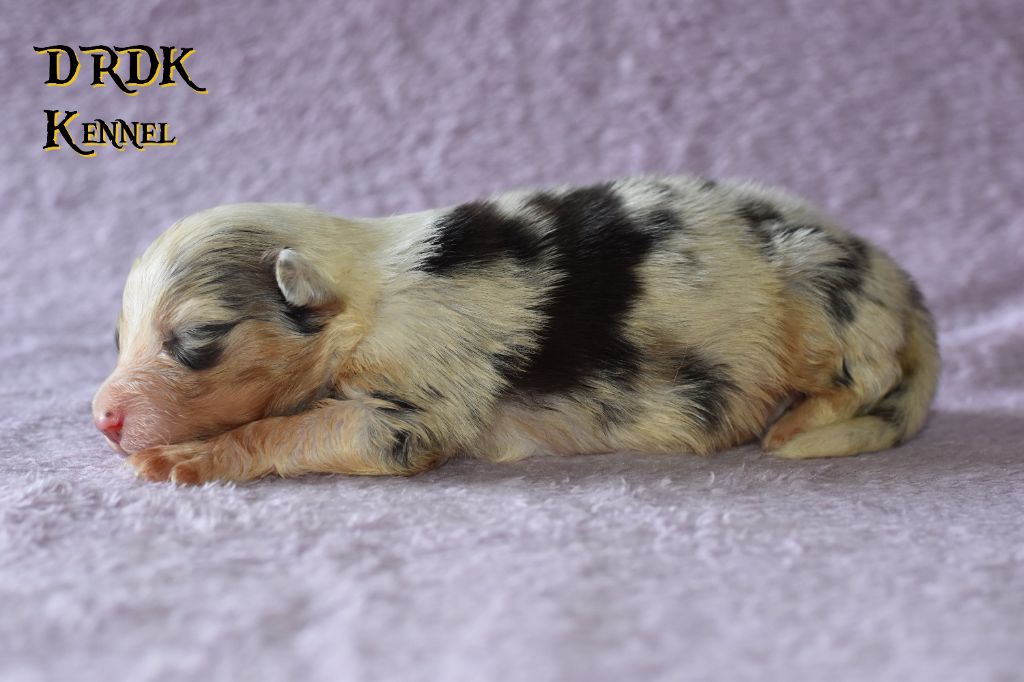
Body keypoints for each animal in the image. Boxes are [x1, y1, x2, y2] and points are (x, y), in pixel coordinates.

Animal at [92, 176, 939, 484]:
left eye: (197, 338)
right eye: (118, 338)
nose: (102, 418)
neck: (360, 294)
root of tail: (898, 278)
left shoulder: (413, 409)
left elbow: (304, 428)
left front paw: (189, 456)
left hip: (818, 300)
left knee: (865, 378)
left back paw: (794, 422)